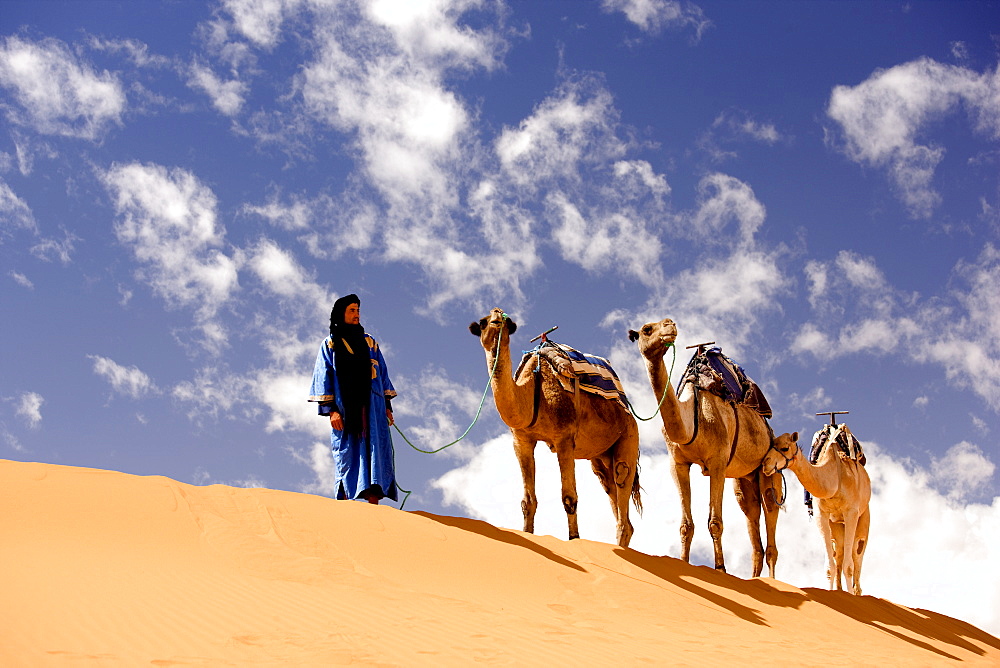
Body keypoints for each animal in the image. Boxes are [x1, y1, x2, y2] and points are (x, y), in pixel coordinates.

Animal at [468, 308, 640, 548]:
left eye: (507, 321)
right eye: (483, 322)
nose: (496, 317)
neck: (532, 391)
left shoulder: (564, 438)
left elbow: (569, 497)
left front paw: (574, 540)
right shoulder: (521, 441)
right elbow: (527, 501)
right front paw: (528, 534)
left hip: (629, 436)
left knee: (622, 480)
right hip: (601, 458)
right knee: (611, 490)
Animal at [624, 318, 780, 576]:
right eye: (647, 329)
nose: (670, 324)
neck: (693, 419)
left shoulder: (718, 463)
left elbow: (715, 522)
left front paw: (720, 568)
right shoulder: (677, 463)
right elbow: (686, 524)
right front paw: (683, 562)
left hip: (769, 468)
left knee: (771, 519)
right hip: (744, 478)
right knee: (752, 521)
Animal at [760, 434, 872, 596]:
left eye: (785, 448)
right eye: (771, 445)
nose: (765, 464)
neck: (835, 479)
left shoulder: (851, 512)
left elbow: (849, 566)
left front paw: (850, 596)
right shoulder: (821, 514)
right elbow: (830, 567)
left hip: (863, 517)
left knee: (857, 553)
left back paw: (856, 592)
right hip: (836, 524)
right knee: (839, 551)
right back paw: (840, 590)